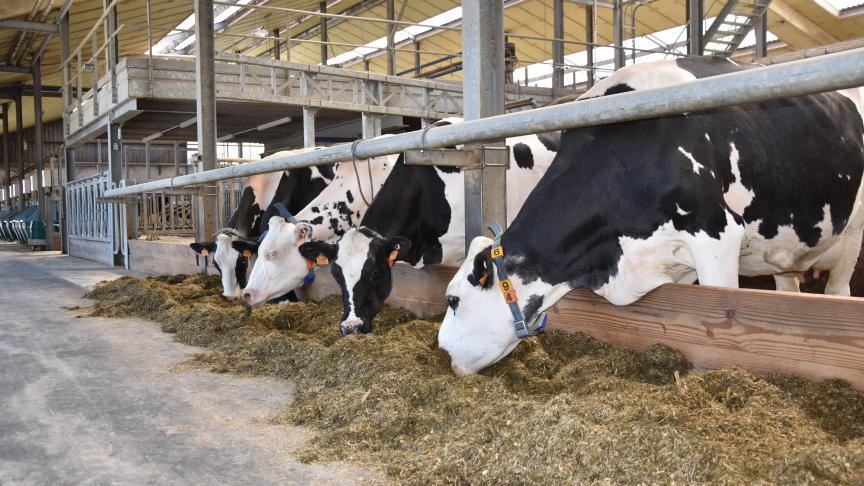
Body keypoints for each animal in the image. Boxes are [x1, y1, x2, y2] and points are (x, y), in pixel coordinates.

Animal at [438, 57, 864, 376]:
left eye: (453, 299)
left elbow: (718, 308)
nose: (441, 350)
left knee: (838, 291)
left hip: (855, 230)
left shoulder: (717, 234)